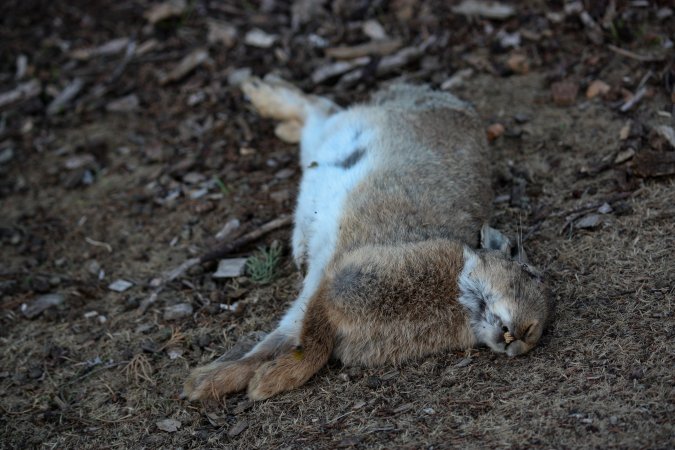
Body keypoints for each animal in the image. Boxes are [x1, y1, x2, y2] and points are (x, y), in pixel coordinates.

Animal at [183, 76, 553, 401]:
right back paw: (261, 92)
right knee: (317, 105)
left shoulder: (314, 306)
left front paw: (217, 381)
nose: (527, 336)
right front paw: (252, 383)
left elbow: (277, 346)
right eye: (529, 272)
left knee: (315, 116)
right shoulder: (336, 282)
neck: (461, 292)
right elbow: (308, 346)